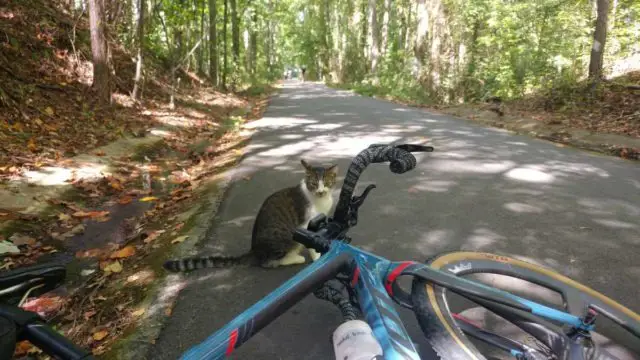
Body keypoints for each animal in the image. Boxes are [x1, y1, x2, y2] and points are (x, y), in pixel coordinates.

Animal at [162, 159, 338, 272]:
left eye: (326, 183)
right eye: (314, 184)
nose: (320, 191)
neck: (319, 199)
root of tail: (254, 250)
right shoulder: (306, 223)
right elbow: (312, 242)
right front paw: (318, 258)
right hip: (284, 238)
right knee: (269, 262)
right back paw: (295, 259)